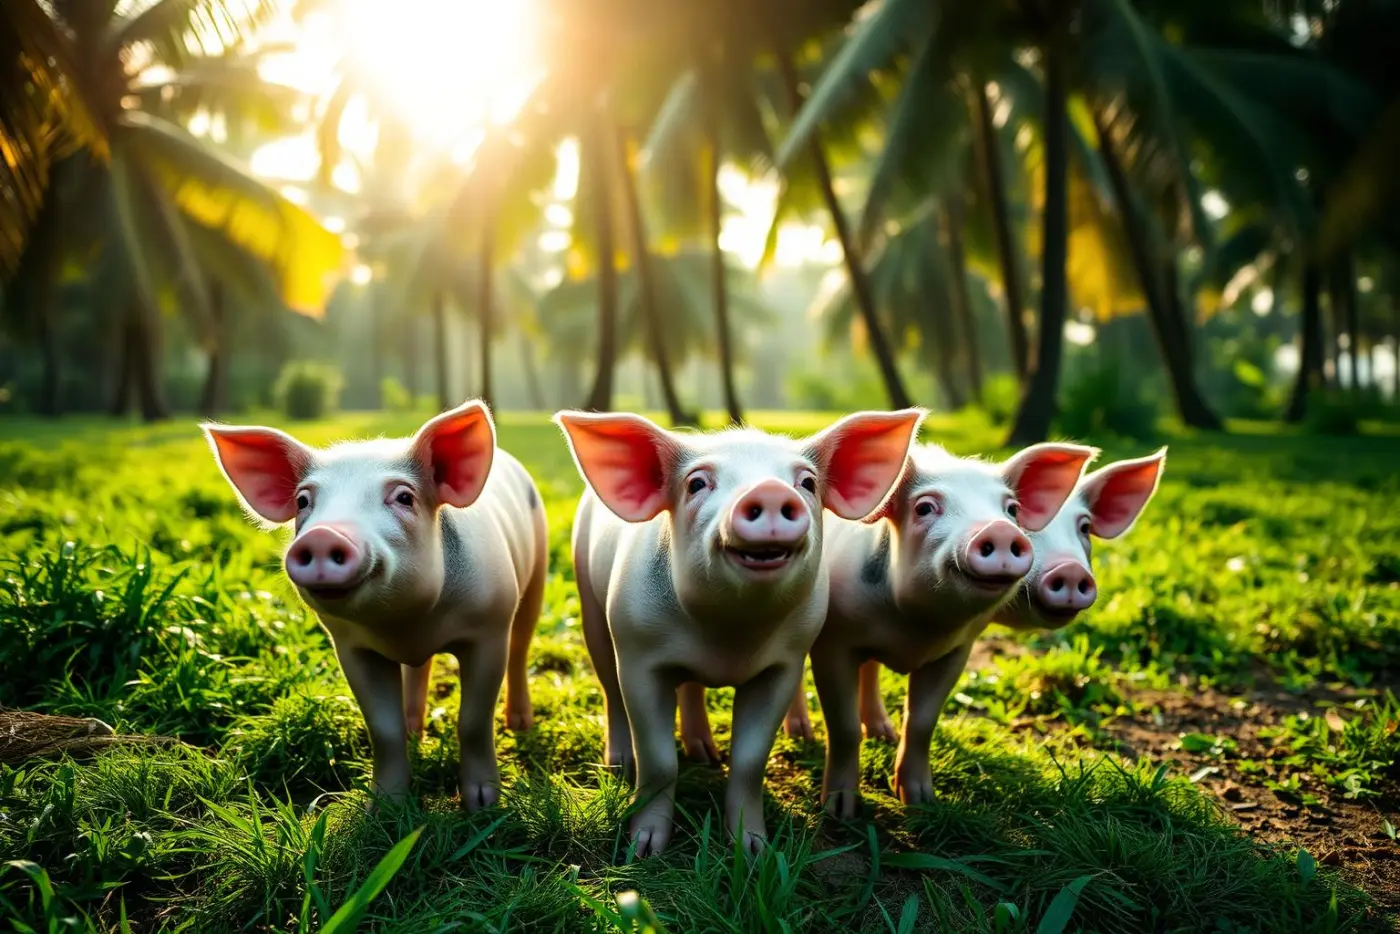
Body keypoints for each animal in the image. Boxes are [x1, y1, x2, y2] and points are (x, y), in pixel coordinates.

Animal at [203, 401, 547, 810]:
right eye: (303, 501)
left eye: (404, 498)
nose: (323, 535)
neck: (406, 624)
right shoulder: (350, 646)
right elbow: (383, 728)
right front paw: (383, 808)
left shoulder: (488, 629)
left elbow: (473, 720)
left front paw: (482, 804)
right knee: (419, 671)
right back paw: (415, 729)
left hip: (535, 578)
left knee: (521, 648)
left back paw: (521, 724)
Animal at [555, 408, 924, 857]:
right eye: (696, 483)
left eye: (807, 483)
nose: (768, 490)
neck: (729, 635)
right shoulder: (639, 655)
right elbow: (659, 760)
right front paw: (643, 850)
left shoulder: (784, 665)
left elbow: (749, 760)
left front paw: (753, 850)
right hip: (591, 605)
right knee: (610, 687)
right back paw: (620, 764)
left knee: (690, 688)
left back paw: (705, 753)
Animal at [808, 441, 1097, 816]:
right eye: (925, 507)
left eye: (1012, 510)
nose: (999, 529)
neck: (917, 630)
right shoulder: (832, 642)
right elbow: (842, 727)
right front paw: (840, 810)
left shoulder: (957, 651)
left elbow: (922, 721)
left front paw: (922, 803)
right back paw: (800, 735)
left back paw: (882, 734)